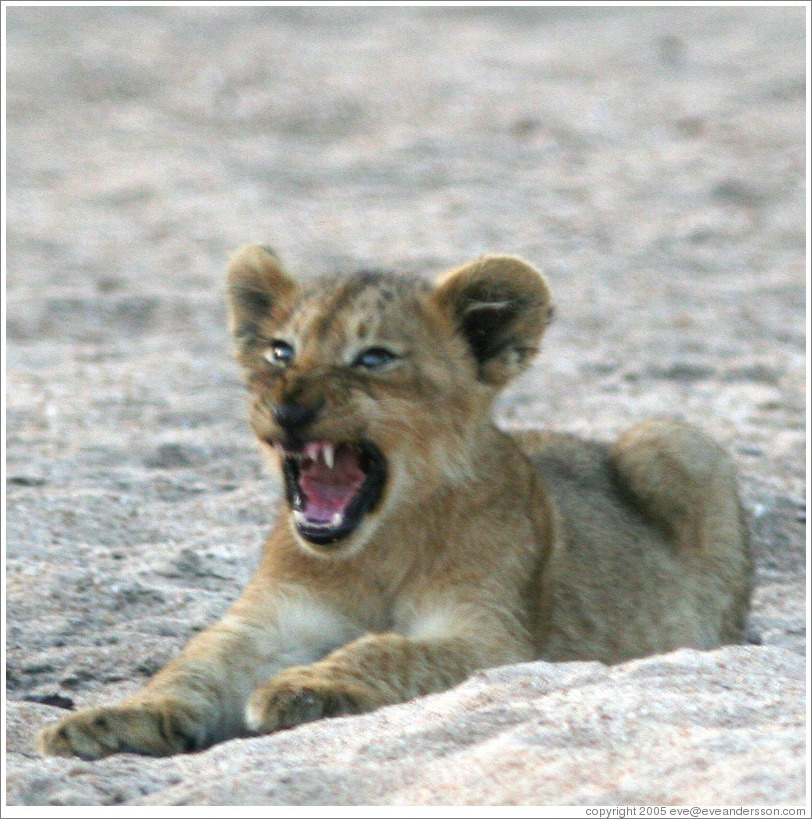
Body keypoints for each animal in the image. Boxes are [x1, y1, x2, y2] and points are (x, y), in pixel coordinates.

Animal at [37, 246, 753, 759]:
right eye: (280, 350)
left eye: (374, 358)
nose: (287, 408)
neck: (377, 545)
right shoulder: (273, 620)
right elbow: (195, 665)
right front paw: (108, 719)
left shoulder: (496, 640)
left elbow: (387, 650)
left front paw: (306, 688)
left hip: (674, 442)